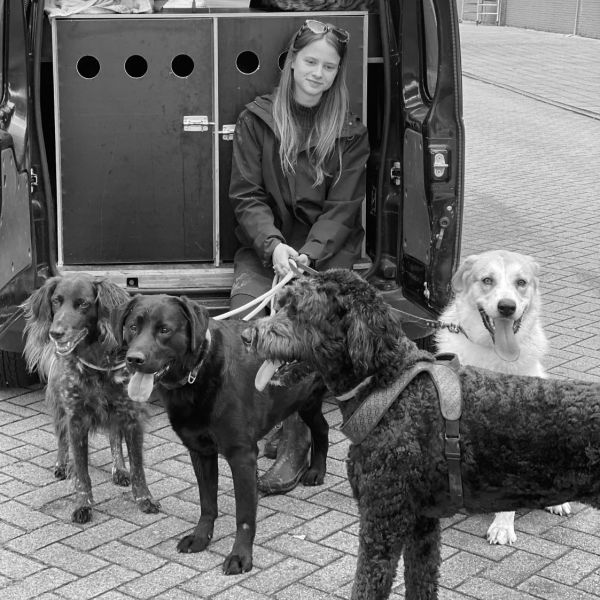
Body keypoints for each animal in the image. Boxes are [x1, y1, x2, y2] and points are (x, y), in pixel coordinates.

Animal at [22, 274, 159, 524]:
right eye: (56, 301)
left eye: (83, 304)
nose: (55, 333)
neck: (98, 360)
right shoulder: (76, 419)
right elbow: (82, 472)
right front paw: (82, 505)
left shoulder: (132, 417)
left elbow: (137, 466)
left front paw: (144, 498)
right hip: (59, 406)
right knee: (61, 437)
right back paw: (61, 464)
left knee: (114, 438)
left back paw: (119, 469)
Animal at [112, 292, 328, 576]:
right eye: (133, 327)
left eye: (164, 330)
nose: (134, 359)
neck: (198, 373)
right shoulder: (200, 451)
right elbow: (207, 503)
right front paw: (201, 538)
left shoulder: (242, 455)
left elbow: (244, 516)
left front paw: (240, 556)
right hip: (306, 402)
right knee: (322, 427)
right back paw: (316, 470)